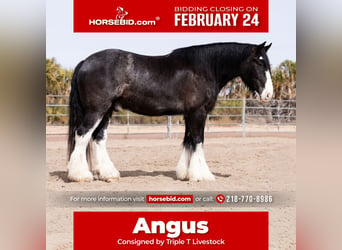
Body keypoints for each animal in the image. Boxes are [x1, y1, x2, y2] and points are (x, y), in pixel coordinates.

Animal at [67, 41, 272, 182]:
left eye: (267, 63)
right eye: (258, 62)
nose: (268, 94)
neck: (203, 69)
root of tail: (85, 62)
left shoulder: (189, 114)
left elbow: (188, 141)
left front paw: (185, 173)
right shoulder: (198, 112)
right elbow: (198, 140)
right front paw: (202, 175)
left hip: (107, 110)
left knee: (98, 137)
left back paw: (108, 173)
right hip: (96, 110)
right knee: (82, 135)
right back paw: (80, 175)